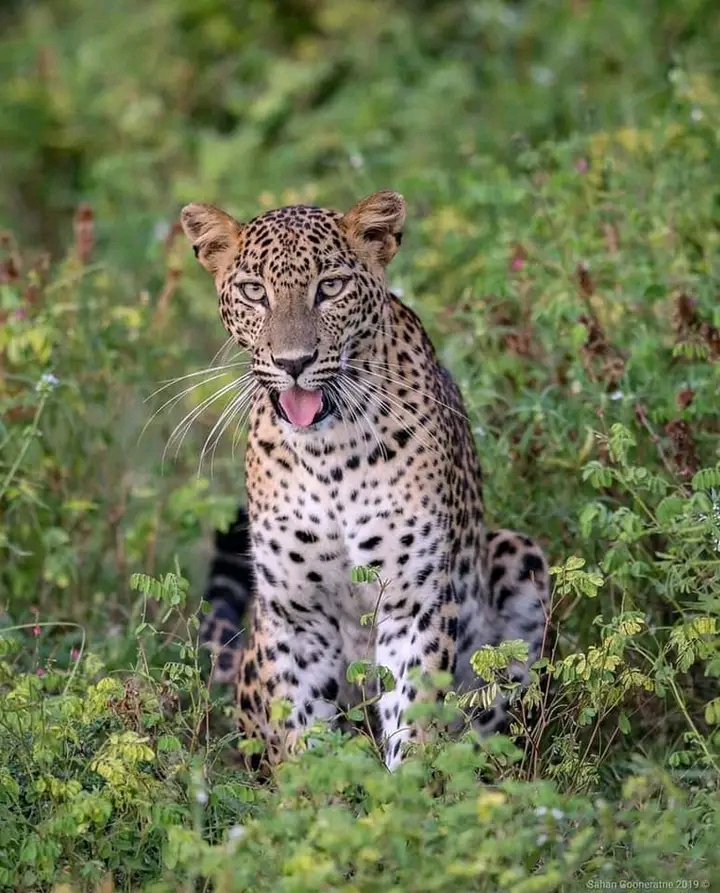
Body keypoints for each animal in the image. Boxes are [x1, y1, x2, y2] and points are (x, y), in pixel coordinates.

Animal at [181, 192, 552, 772]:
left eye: (330, 287)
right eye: (254, 291)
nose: (294, 363)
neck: (328, 454)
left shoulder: (413, 600)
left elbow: (415, 716)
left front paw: (406, 791)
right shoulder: (294, 615)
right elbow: (301, 729)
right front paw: (312, 793)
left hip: (520, 556)